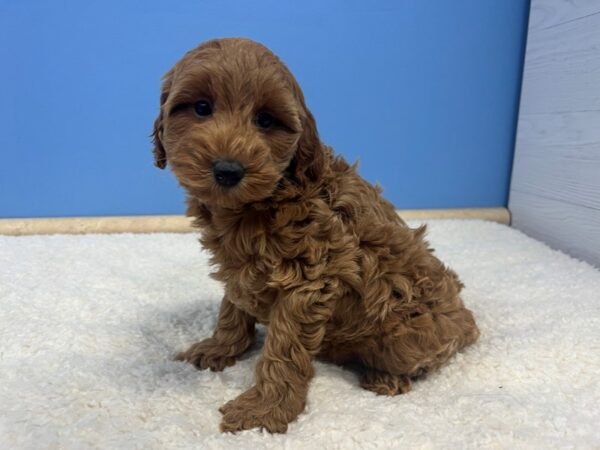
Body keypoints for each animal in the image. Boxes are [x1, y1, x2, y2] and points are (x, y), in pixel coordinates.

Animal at [152, 37, 480, 432]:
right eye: (202, 108)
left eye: (265, 120)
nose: (228, 170)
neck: (262, 200)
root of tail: (467, 322)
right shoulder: (240, 267)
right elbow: (232, 307)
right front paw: (221, 347)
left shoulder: (308, 278)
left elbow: (283, 350)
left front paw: (266, 409)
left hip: (408, 334)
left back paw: (384, 377)